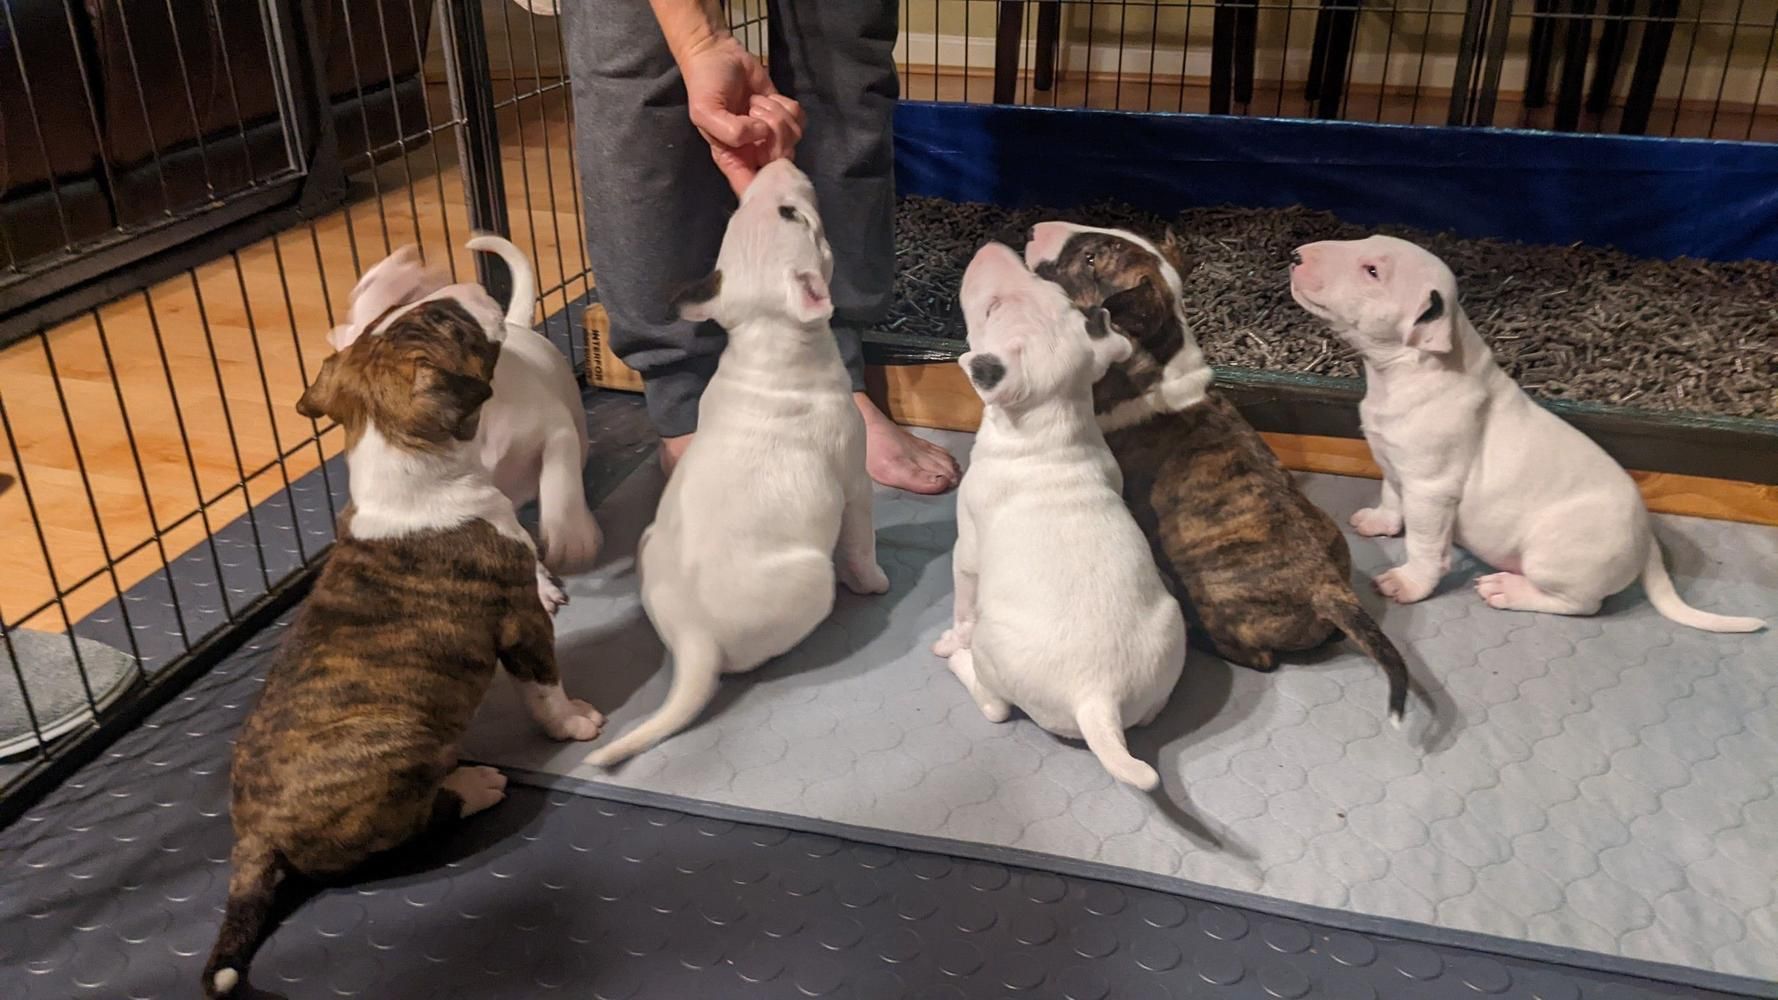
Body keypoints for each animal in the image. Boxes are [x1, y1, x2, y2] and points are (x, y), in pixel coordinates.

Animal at [202, 297, 604, 996]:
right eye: (449, 324)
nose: (471, 294)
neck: (405, 469)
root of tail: (252, 836)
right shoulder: (519, 618)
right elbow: (543, 683)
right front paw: (574, 722)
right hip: (400, 746)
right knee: (412, 825)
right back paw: (476, 786)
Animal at [583, 161, 889, 761]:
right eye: (792, 215)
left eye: (740, 214)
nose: (776, 163)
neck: (768, 342)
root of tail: (694, 641)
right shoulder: (854, 480)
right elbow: (860, 541)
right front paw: (874, 581)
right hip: (811, 579)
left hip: (649, 544)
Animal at [938, 241, 1187, 786]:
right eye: (1053, 289)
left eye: (991, 310)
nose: (992, 245)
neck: (1052, 427)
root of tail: (1098, 698)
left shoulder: (966, 550)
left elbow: (963, 596)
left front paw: (953, 631)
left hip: (994, 651)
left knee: (995, 706)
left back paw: (955, 658)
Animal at [1024, 224, 1408, 722]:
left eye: (1091, 260)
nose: (1036, 230)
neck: (1158, 354)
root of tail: (1328, 590)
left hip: (1217, 600)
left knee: (1257, 658)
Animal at [1294, 231, 1763, 629]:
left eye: (1372, 271)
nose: (1297, 255)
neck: (1411, 368)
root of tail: (1646, 540)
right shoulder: (1395, 463)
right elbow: (1391, 495)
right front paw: (1380, 521)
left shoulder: (1431, 489)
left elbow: (1424, 545)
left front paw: (1408, 583)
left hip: (1552, 556)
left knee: (1582, 605)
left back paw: (1508, 590)